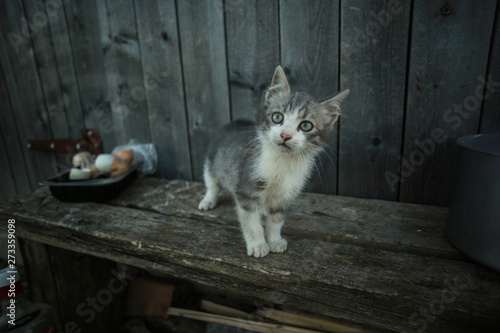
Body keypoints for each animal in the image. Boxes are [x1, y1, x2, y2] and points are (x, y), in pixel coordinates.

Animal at [198, 65, 348, 256]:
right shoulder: (246, 189)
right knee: (212, 184)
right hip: (211, 163)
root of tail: (233, 122)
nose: (285, 135)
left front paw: (274, 240)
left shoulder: (284, 195)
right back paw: (208, 200)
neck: (283, 163)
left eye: (306, 125)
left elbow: (276, 220)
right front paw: (257, 245)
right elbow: (250, 220)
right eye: (277, 117)